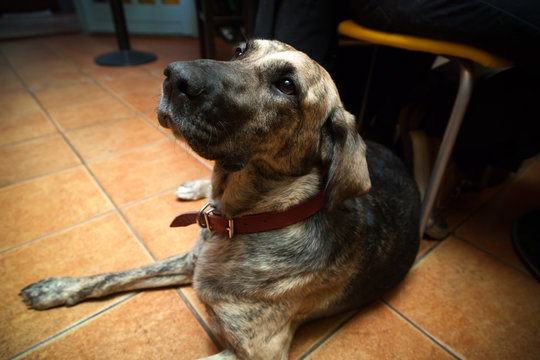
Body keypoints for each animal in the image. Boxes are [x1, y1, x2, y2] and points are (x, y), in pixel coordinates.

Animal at [20, 39, 418, 360]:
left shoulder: (260, 351)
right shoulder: (188, 261)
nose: (174, 76)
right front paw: (57, 288)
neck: (249, 220)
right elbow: (117, 275)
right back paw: (195, 187)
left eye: (287, 85)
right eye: (240, 50)